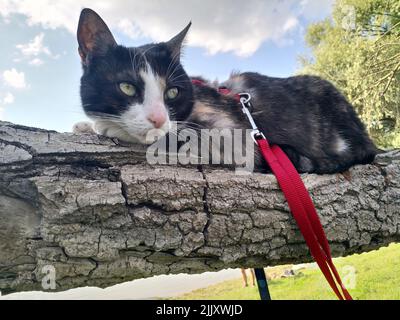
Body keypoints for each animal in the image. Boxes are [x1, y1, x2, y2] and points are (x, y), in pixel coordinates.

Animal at [76, 8, 378, 174]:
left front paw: (106, 126)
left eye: (172, 93)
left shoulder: (235, 135)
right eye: (127, 87)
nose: (159, 119)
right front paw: (83, 125)